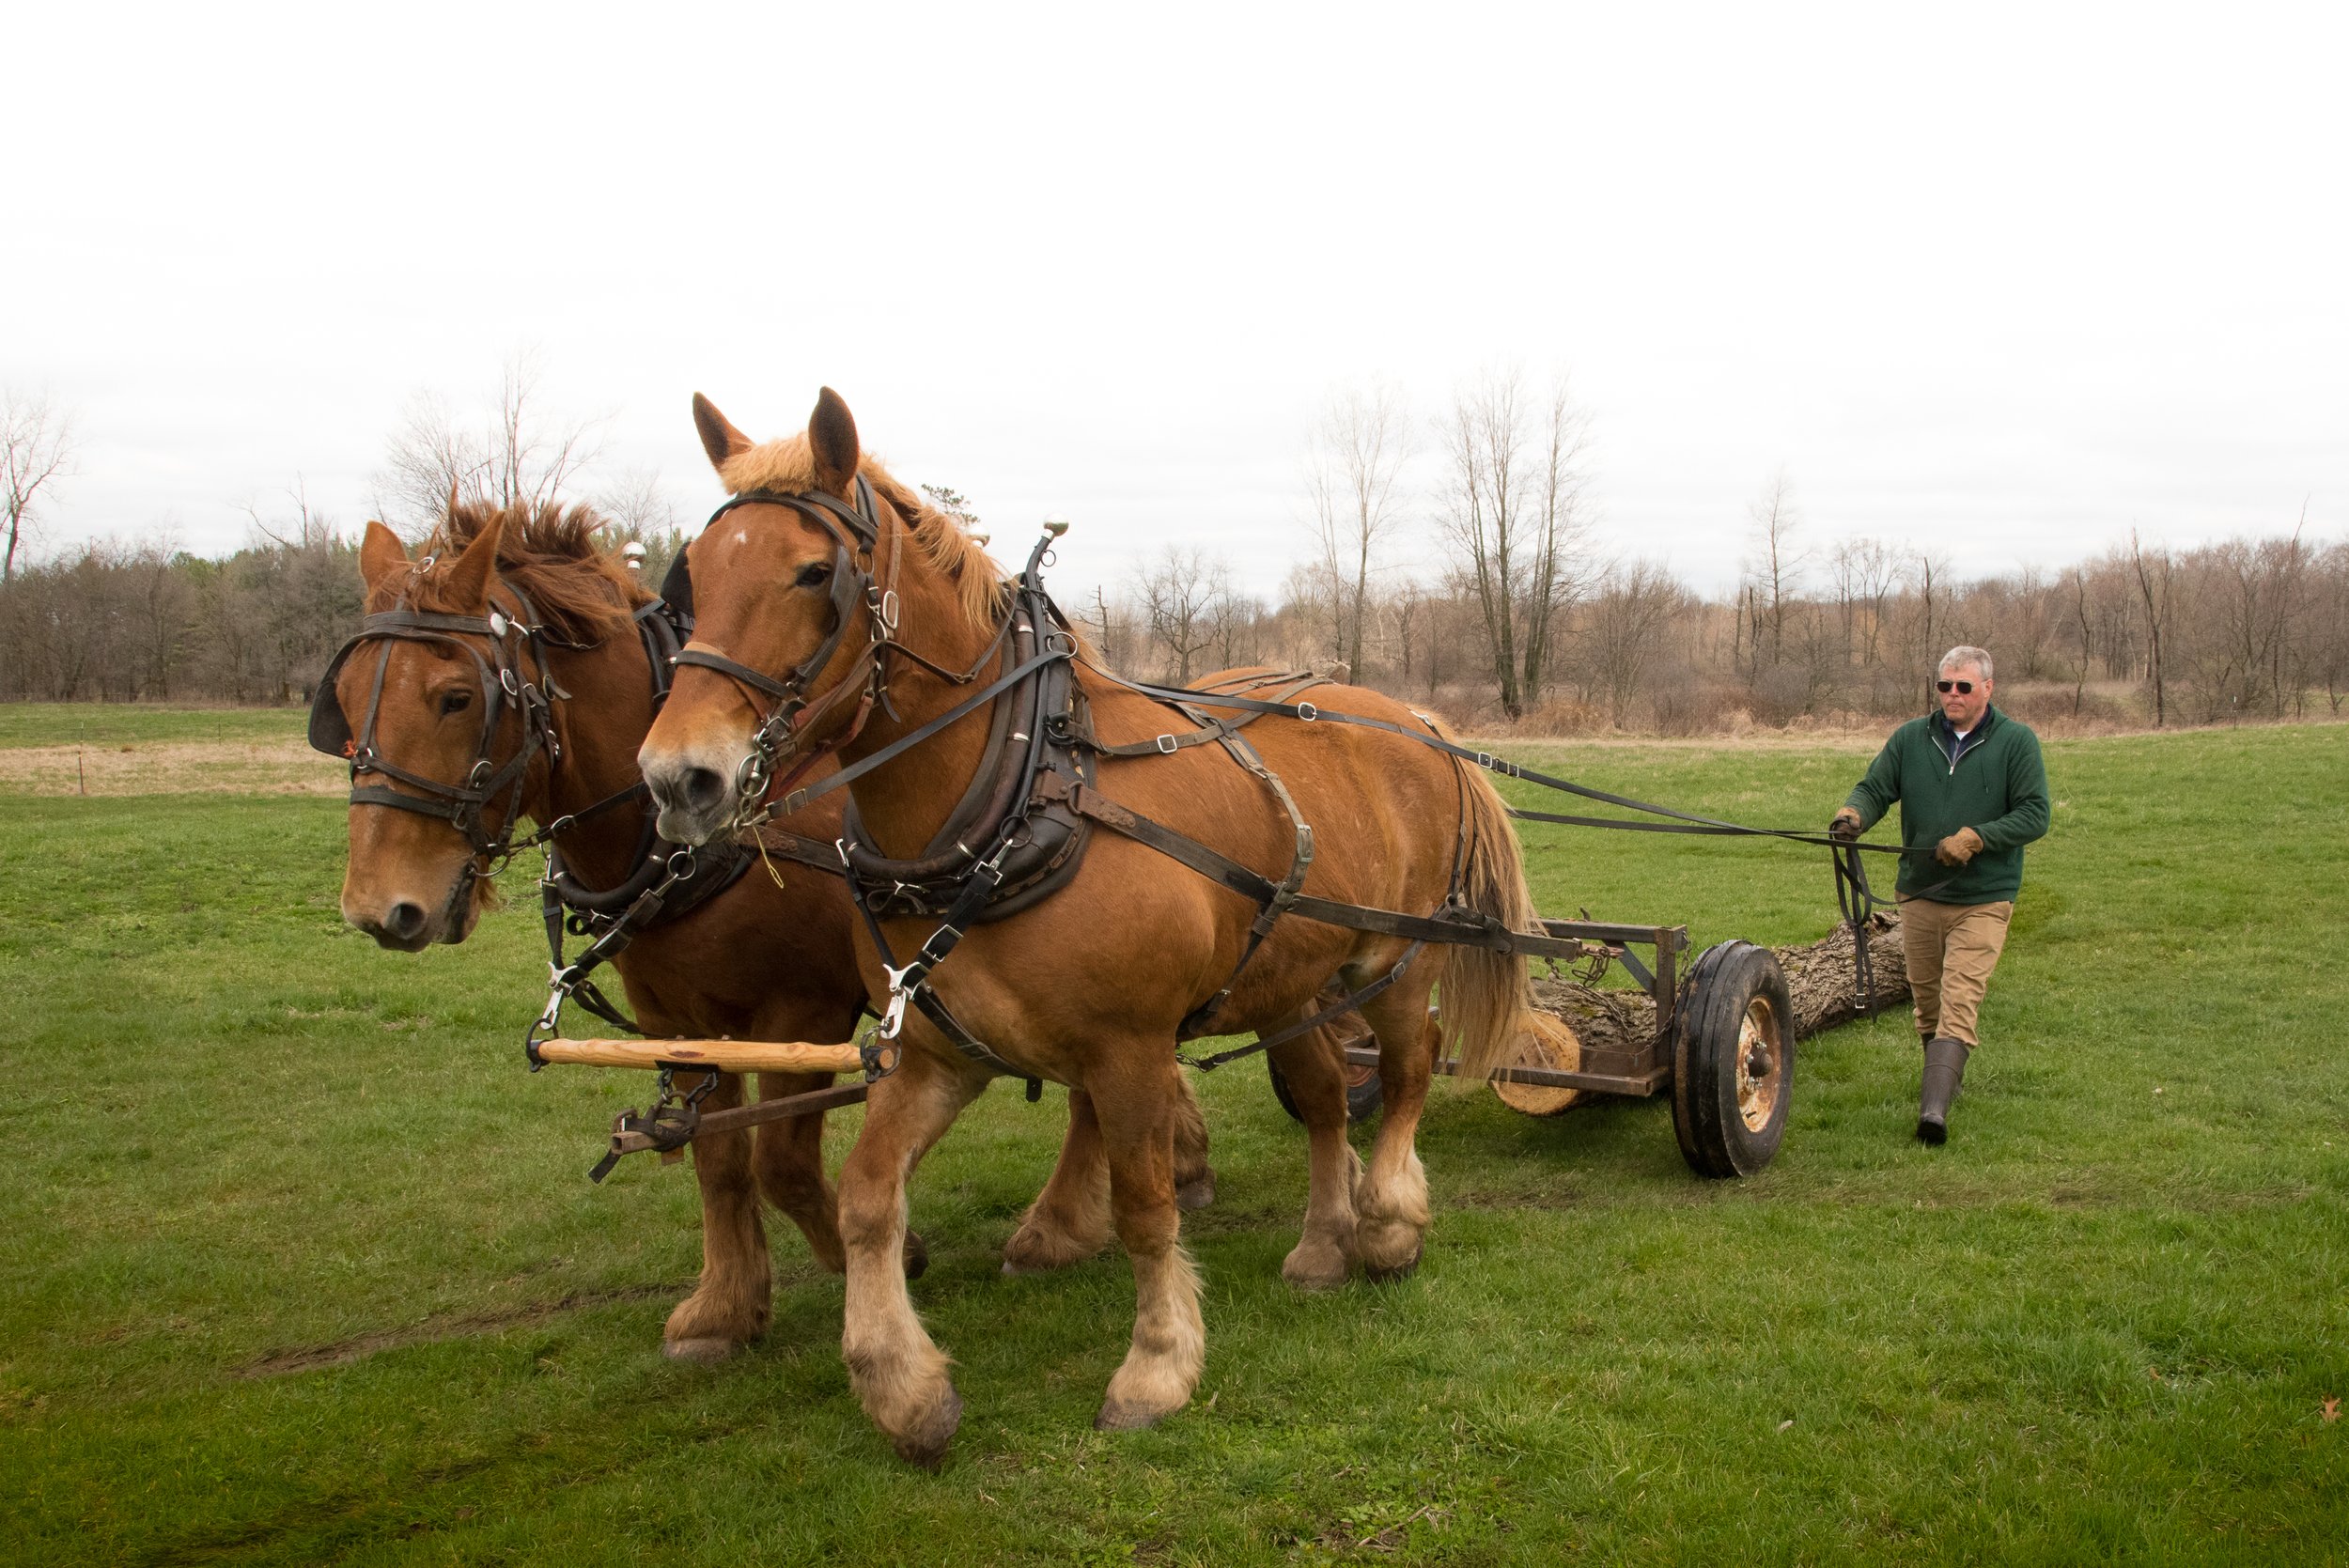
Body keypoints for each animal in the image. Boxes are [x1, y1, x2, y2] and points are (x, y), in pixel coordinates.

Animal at [322, 497, 1215, 1361]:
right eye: (344, 699)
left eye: (455, 697)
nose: (380, 908)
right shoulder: (675, 1017)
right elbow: (717, 1160)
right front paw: (725, 1307)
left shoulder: (804, 1008)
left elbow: (780, 1161)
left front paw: (887, 1258)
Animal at [636, 388, 1539, 1465]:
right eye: (692, 577)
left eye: (815, 573)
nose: (678, 777)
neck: (1019, 798)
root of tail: (1413, 718)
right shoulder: (939, 1053)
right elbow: (865, 1197)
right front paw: (903, 1384)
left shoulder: (1130, 1049)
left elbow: (1146, 1207)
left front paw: (1157, 1365)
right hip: (1291, 978)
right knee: (1325, 1097)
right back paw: (1324, 1241)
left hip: (1392, 958)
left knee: (1405, 1075)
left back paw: (1392, 1223)